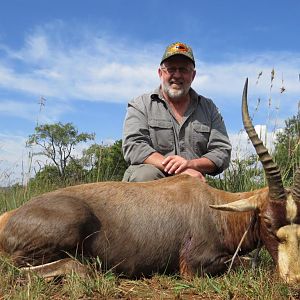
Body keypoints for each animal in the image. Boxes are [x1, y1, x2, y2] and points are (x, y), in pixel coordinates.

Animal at [0, 79, 298, 282]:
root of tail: (10, 216)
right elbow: (245, 263)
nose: (292, 279)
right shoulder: (193, 265)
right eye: (267, 222)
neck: (214, 206)